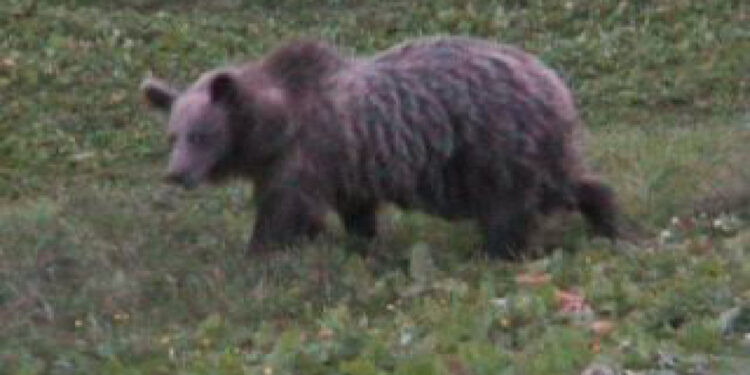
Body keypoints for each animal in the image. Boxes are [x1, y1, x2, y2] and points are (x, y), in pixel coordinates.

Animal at [140, 36, 616, 260]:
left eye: (201, 134)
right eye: (172, 136)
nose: (176, 173)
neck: (274, 130)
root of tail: (553, 81)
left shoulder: (310, 153)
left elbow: (285, 211)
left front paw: (258, 252)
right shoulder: (347, 166)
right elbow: (355, 214)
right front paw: (358, 245)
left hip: (493, 146)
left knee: (510, 208)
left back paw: (495, 251)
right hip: (528, 150)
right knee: (566, 183)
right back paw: (609, 222)